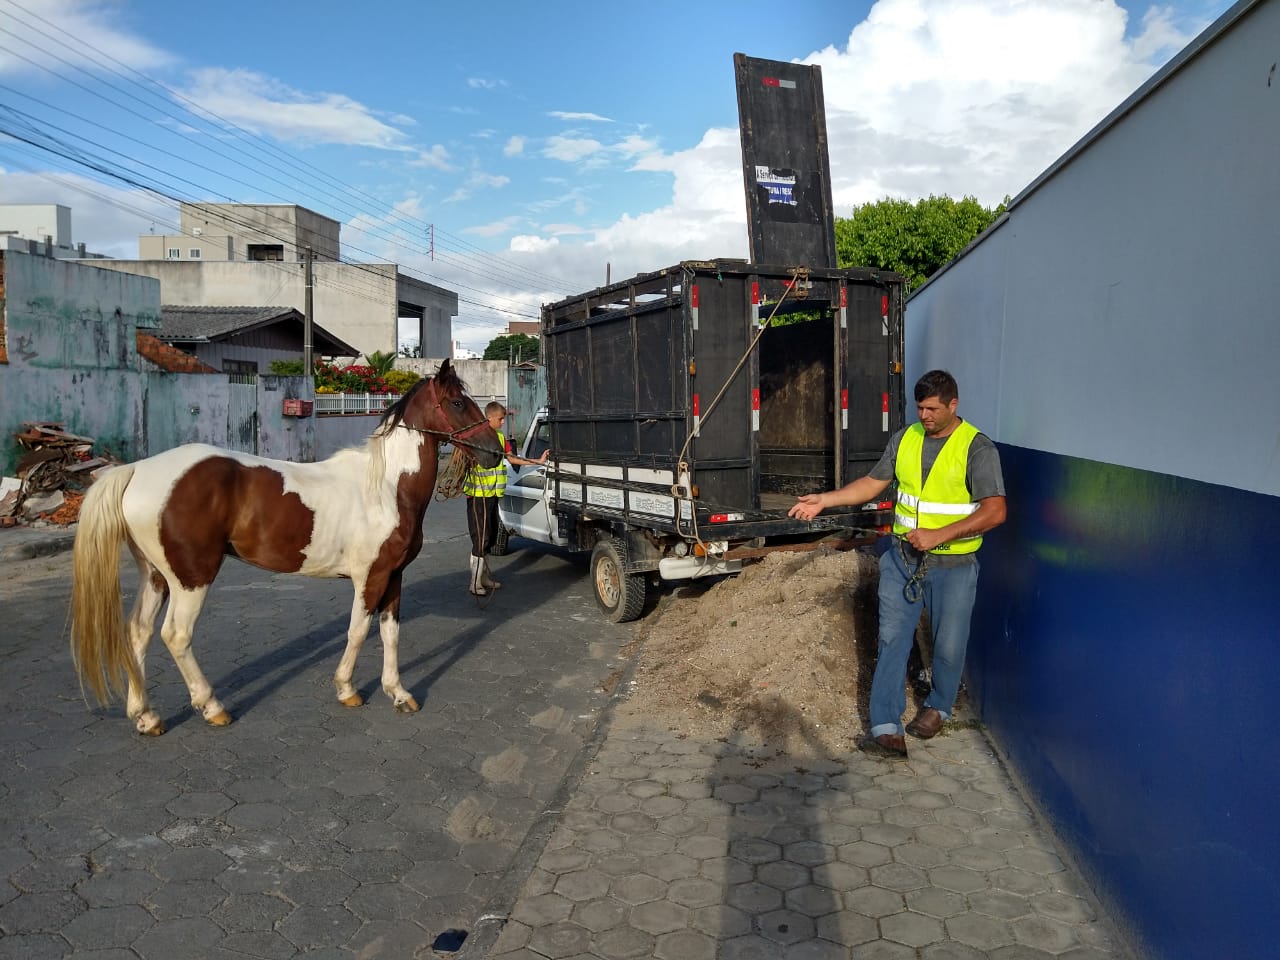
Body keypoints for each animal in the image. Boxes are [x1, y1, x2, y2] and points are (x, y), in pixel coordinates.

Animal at [67, 360, 499, 737]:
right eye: (457, 403)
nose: (493, 451)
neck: (386, 488)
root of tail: (137, 470)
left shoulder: (394, 576)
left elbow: (390, 634)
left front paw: (398, 693)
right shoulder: (370, 577)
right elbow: (358, 631)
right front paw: (347, 689)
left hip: (157, 576)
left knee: (137, 632)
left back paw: (146, 716)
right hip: (191, 578)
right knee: (176, 635)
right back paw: (212, 707)